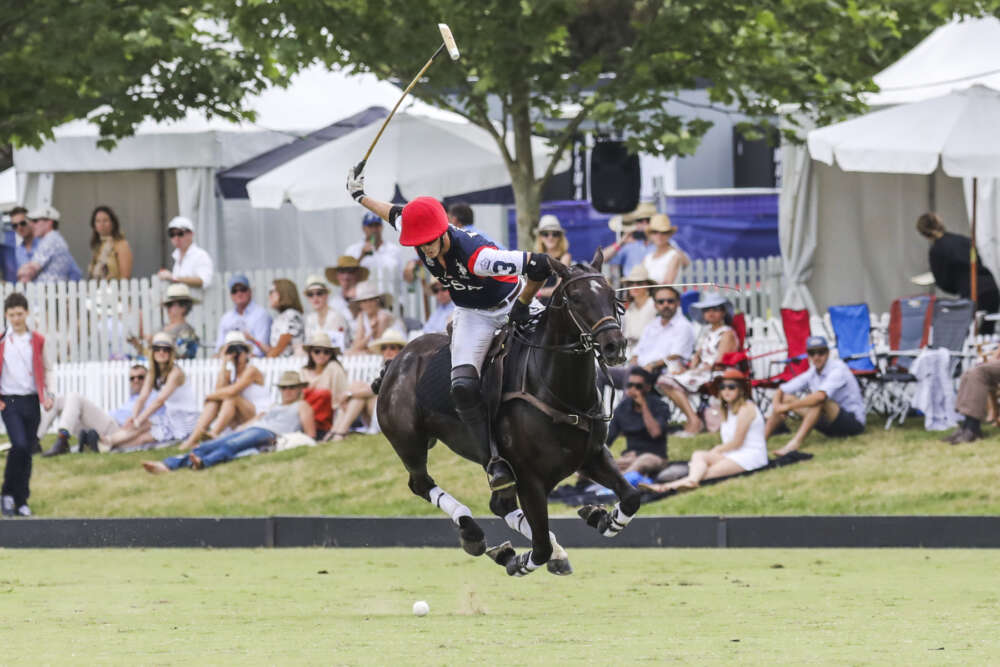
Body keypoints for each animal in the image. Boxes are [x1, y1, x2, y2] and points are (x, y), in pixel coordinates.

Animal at [374, 253, 640, 576]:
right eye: (575, 298)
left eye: (612, 294)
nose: (615, 346)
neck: (556, 390)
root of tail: (397, 359)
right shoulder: (530, 479)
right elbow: (540, 546)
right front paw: (516, 561)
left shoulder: (592, 456)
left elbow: (631, 497)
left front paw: (602, 518)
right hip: (408, 441)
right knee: (422, 482)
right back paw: (471, 531)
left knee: (498, 503)